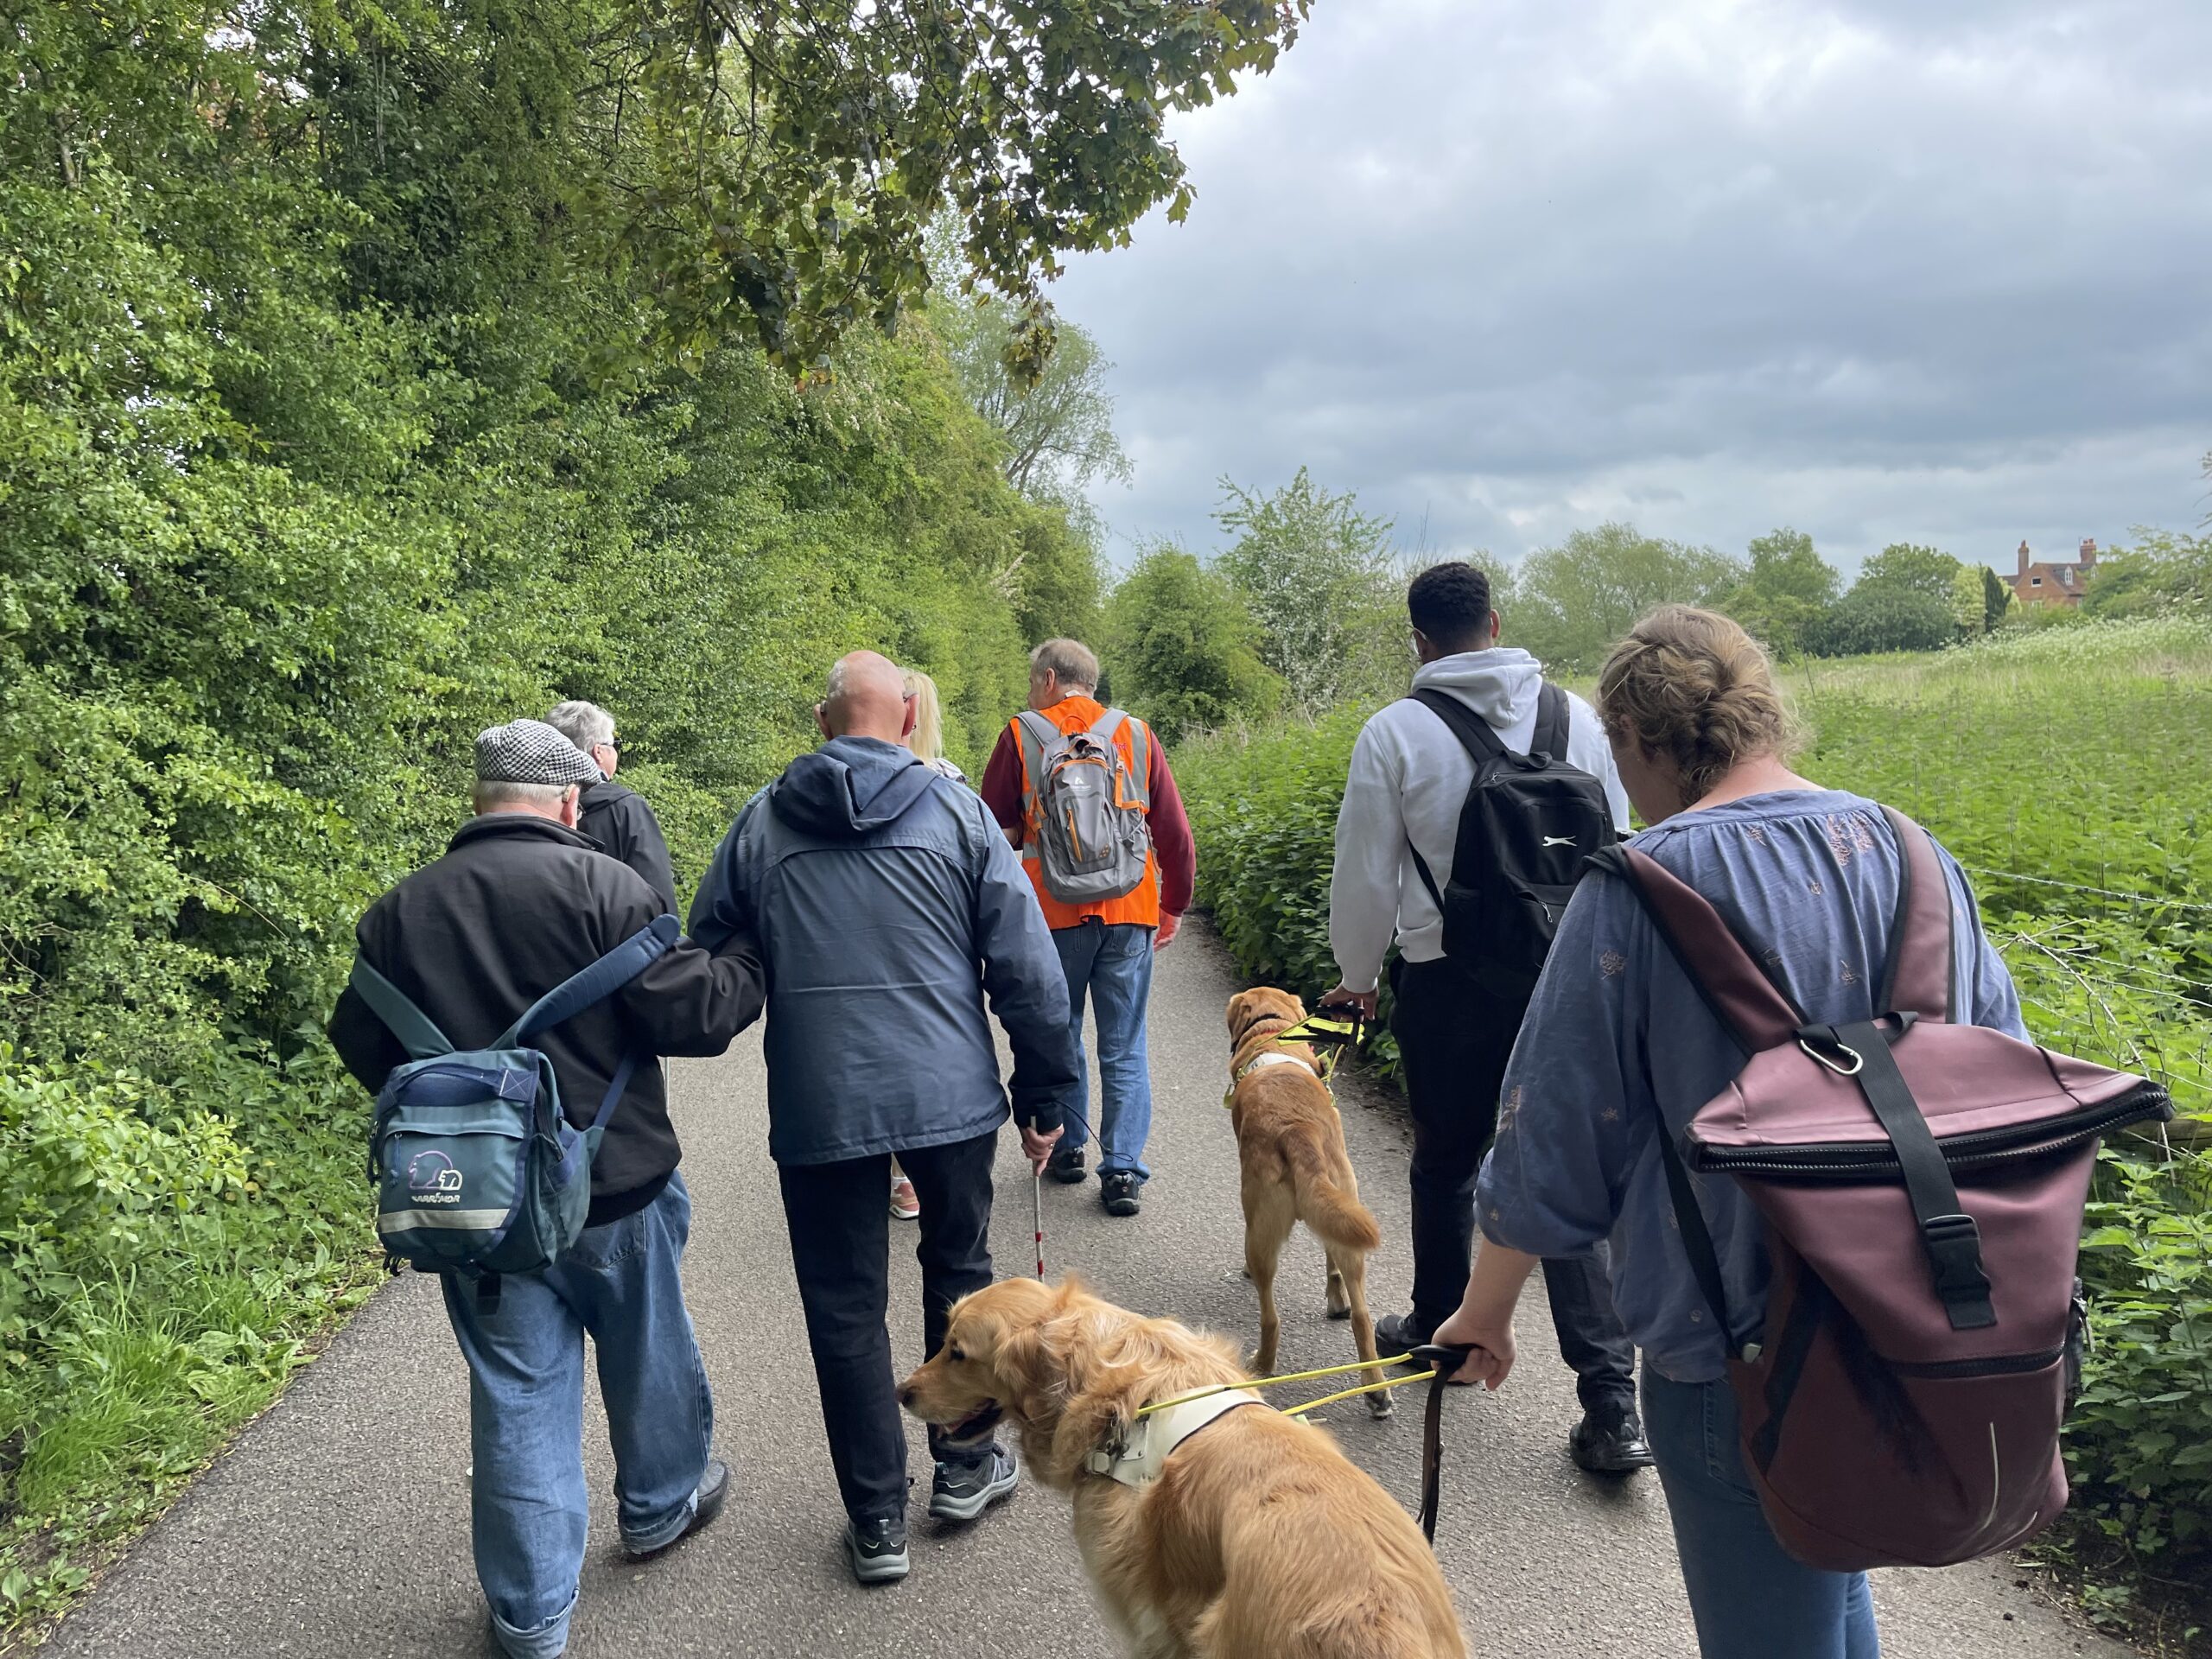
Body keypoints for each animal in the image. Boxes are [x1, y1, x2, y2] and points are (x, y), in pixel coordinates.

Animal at [1221, 986, 1389, 1415]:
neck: (1273, 1032)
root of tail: (1297, 1130)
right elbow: (1332, 1268)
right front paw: (1335, 1299)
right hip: (1348, 1215)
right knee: (1362, 1316)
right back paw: (1376, 1389)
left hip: (1260, 1232)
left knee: (1270, 1316)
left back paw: (1262, 1363)